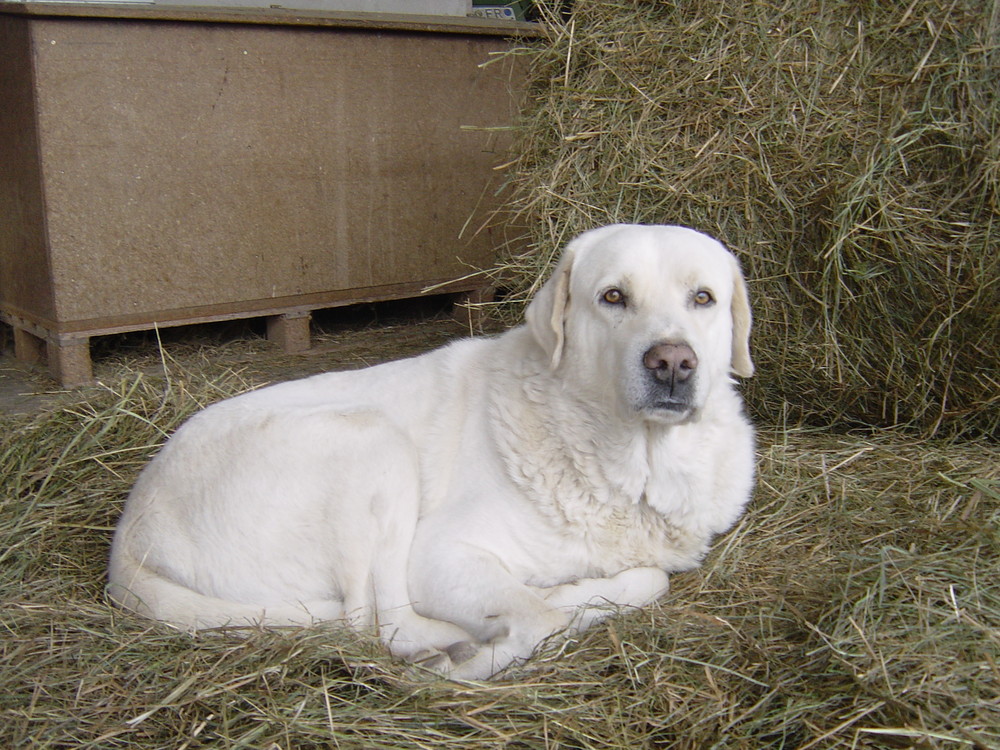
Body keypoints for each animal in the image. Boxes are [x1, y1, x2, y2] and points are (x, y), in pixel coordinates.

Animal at [105, 223, 752, 680]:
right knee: (378, 624)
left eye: (703, 298)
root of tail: (128, 542)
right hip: (373, 440)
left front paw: (570, 595)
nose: (672, 362)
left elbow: (649, 581)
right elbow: (543, 620)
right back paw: (450, 646)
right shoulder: (437, 553)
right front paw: (484, 657)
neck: (632, 465)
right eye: (613, 296)